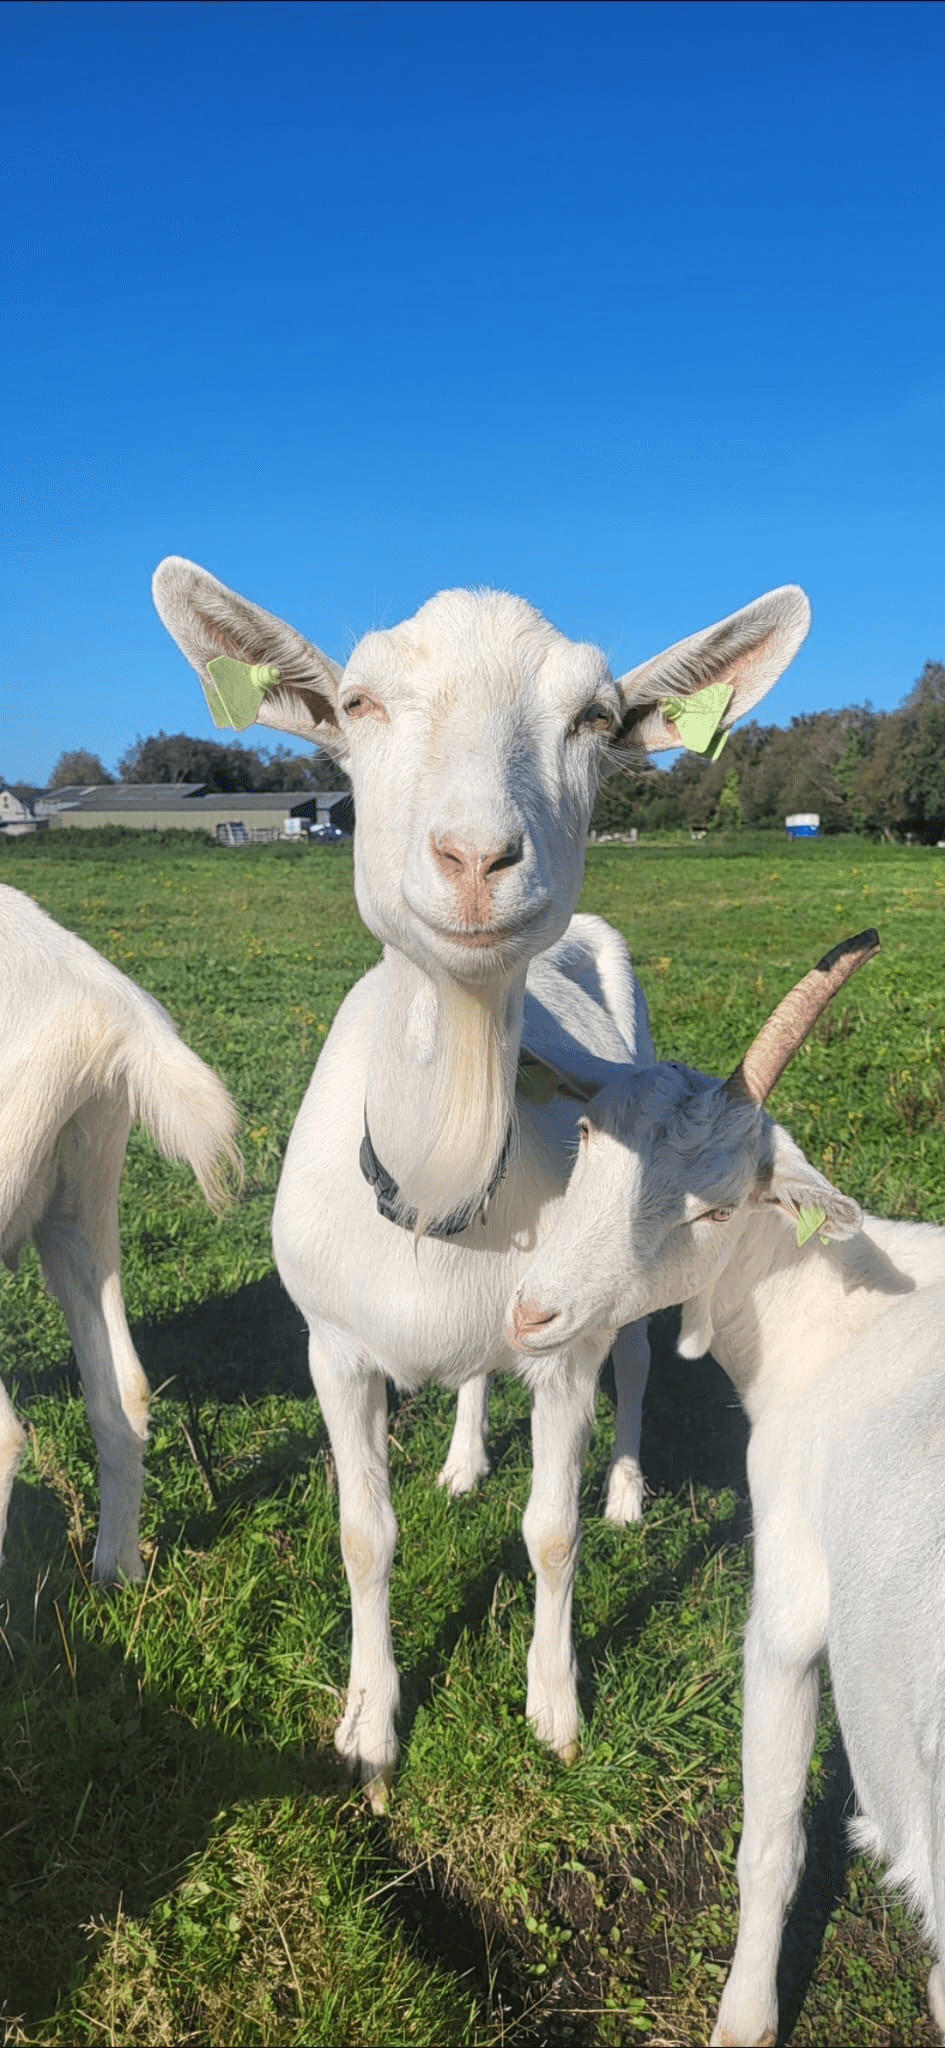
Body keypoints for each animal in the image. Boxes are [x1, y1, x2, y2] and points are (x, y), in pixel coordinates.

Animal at [153, 557, 810, 1805]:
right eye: (357, 702)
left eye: (596, 717)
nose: (474, 858)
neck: (440, 1191)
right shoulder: (332, 1343)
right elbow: (364, 1532)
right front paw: (368, 1725)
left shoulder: (562, 1339)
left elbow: (550, 1528)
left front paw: (555, 1707)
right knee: (468, 1374)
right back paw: (460, 1457)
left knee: (636, 1362)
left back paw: (630, 1489)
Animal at [509, 932, 945, 2045]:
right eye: (586, 1132)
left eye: (712, 1209)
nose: (533, 1312)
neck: (839, 1316)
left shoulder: (786, 1604)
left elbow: (772, 1844)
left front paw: (743, 2015)